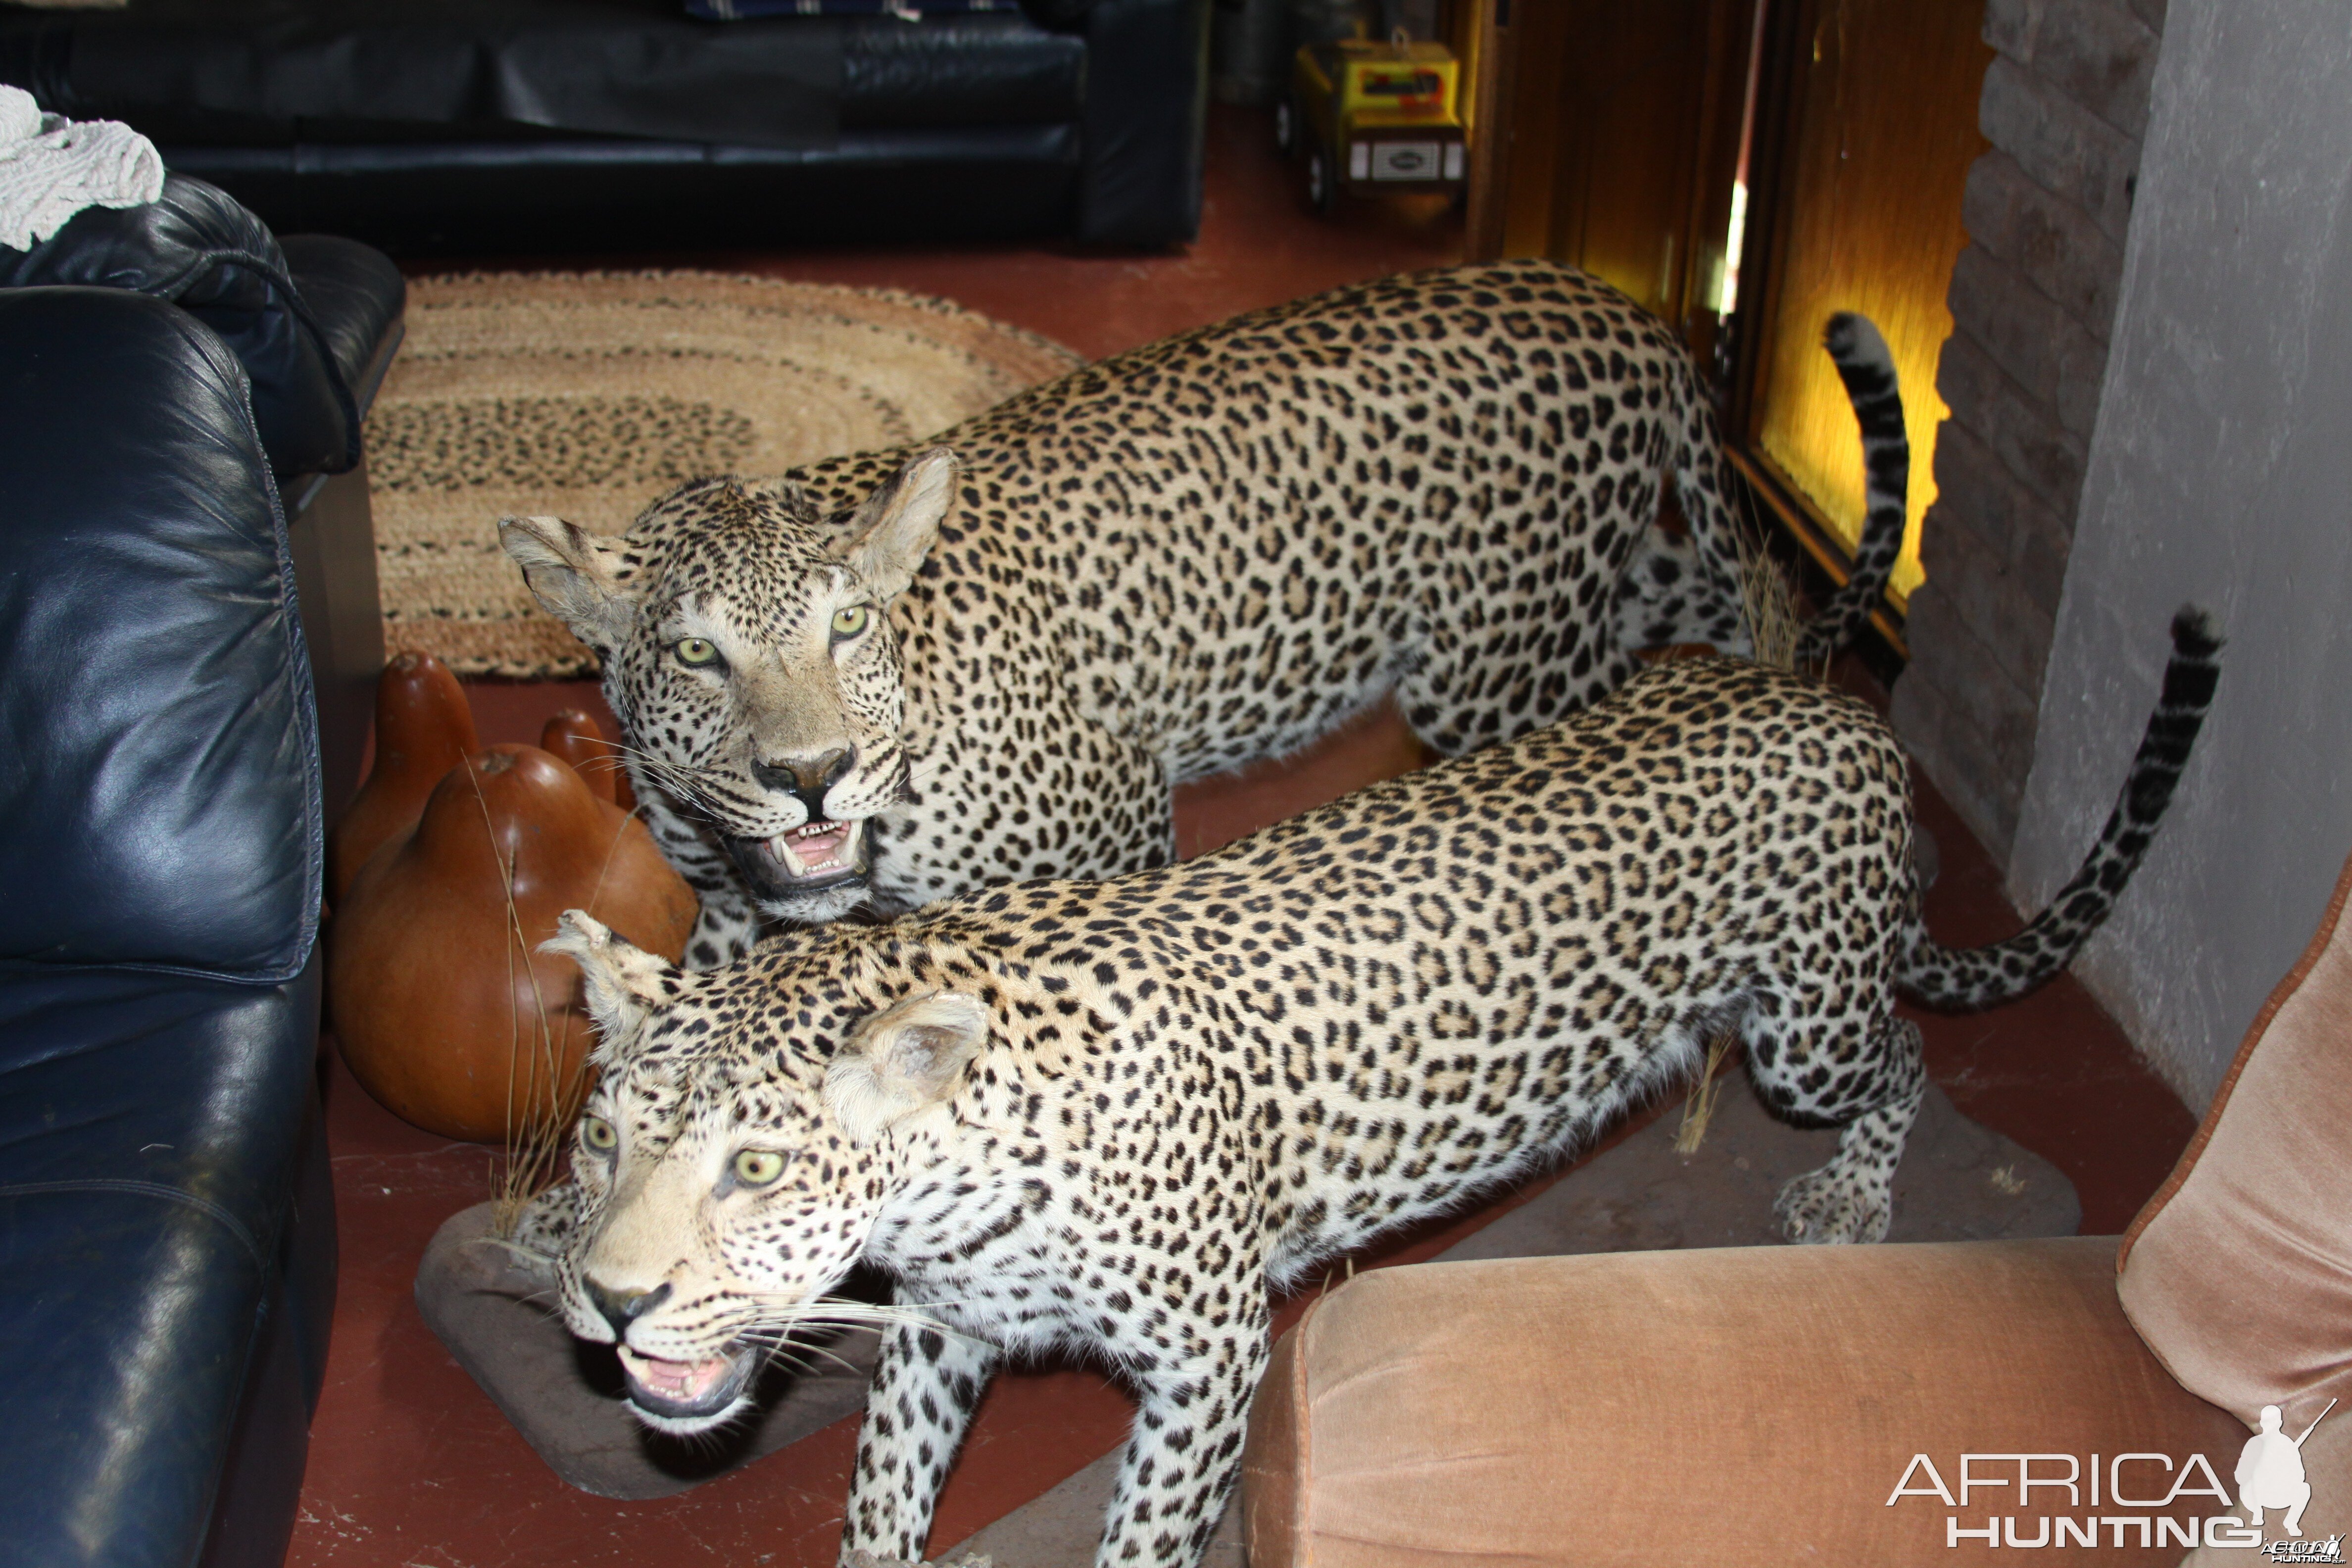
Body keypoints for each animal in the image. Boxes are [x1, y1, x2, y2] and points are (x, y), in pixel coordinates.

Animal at [501, 263, 1910, 964]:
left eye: (845, 630)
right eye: (696, 652)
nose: (811, 776)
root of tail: (1625, 307)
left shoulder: (1117, 820)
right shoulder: (732, 917)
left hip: (1496, 665)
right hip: (1587, 590)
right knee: (1711, 599)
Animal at [539, 611, 2220, 1568]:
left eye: (759, 1167)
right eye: (607, 1144)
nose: (608, 1308)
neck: (957, 1179)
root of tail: (1832, 702)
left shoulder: (1211, 1364)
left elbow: (1140, 1545)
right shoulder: (945, 1331)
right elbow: (881, 1508)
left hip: (1813, 1022)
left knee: (1906, 1051)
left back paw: (1856, 1197)